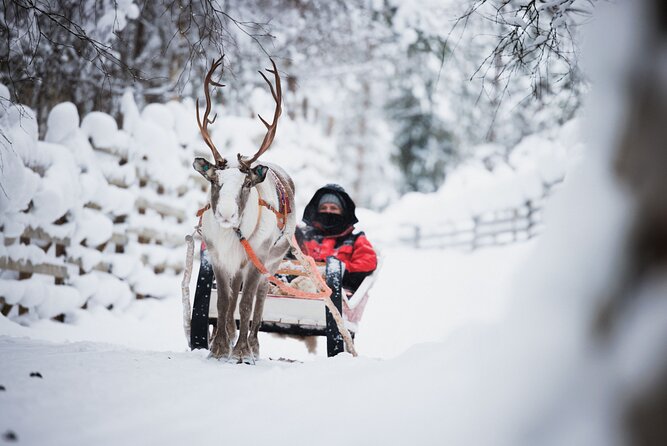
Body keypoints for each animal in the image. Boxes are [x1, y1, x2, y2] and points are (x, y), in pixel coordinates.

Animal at [192, 56, 296, 364]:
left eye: (247, 183)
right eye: (214, 180)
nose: (226, 214)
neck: (231, 236)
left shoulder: (255, 258)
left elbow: (247, 303)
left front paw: (241, 352)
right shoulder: (218, 258)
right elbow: (225, 302)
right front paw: (218, 348)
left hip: (272, 262)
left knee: (259, 300)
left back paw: (252, 345)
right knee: (232, 301)